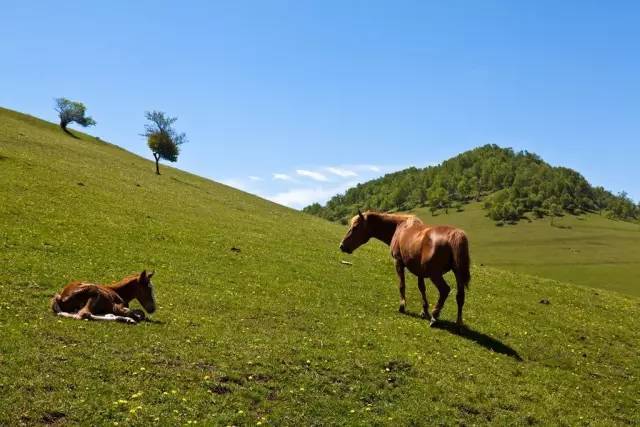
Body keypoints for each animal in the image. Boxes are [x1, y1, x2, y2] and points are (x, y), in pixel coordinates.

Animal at [340, 211, 470, 328]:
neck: (400, 227)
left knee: (445, 290)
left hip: (435, 275)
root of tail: (455, 235)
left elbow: (402, 285)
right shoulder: (420, 271)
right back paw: (458, 323)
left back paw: (435, 316)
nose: (342, 246)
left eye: (355, 227)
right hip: (457, 273)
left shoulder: (398, 262)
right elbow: (422, 288)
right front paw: (424, 311)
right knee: (460, 296)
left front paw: (402, 306)